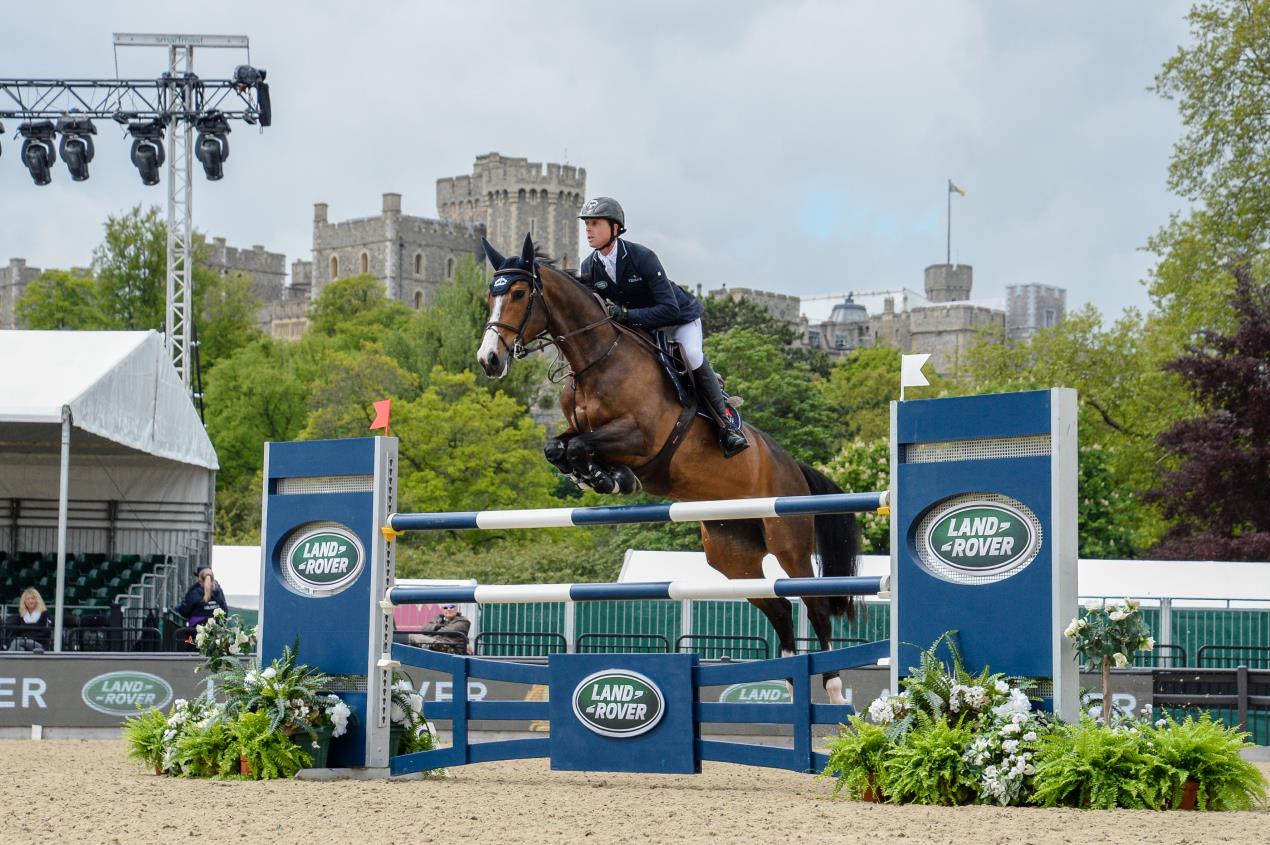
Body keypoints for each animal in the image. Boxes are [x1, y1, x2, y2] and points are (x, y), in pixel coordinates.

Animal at [477, 232, 863, 696]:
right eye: (490, 296)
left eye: (519, 294)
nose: (489, 360)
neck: (597, 359)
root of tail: (794, 467)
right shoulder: (579, 431)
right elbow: (560, 448)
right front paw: (600, 477)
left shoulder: (642, 438)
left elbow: (581, 447)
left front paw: (611, 478)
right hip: (732, 554)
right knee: (780, 608)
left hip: (788, 540)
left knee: (815, 604)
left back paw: (834, 688)